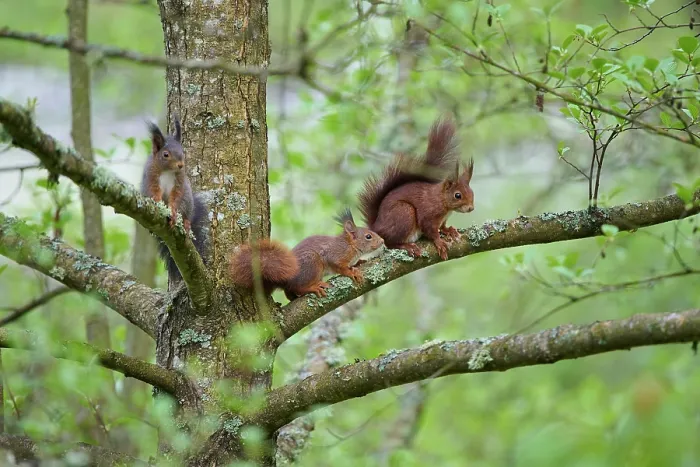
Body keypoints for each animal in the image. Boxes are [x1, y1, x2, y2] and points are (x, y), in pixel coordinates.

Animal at [141, 115, 208, 280]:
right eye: (166, 154)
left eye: (183, 151)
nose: (181, 165)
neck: (167, 171)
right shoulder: (151, 178)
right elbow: (154, 192)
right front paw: (157, 203)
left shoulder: (180, 183)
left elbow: (177, 198)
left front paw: (174, 214)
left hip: (189, 203)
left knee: (187, 213)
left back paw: (186, 223)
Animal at [228, 209, 385, 301]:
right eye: (368, 236)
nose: (383, 241)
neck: (351, 246)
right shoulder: (336, 254)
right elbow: (339, 267)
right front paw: (351, 272)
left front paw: (360, 262)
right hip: (312, 264)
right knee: (297, 287)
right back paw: (312, 287)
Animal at [358, 117, 474, 261]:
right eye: (457, 195)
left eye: (472, 193)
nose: (471, 208)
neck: (442, 201)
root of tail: (376, 227)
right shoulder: (428, 214)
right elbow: (430, 230)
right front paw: (439, 242)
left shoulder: (442, 219)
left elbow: (442, 226)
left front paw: (449, 230)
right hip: (404, 213)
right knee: (389, 243)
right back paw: (407, 246)